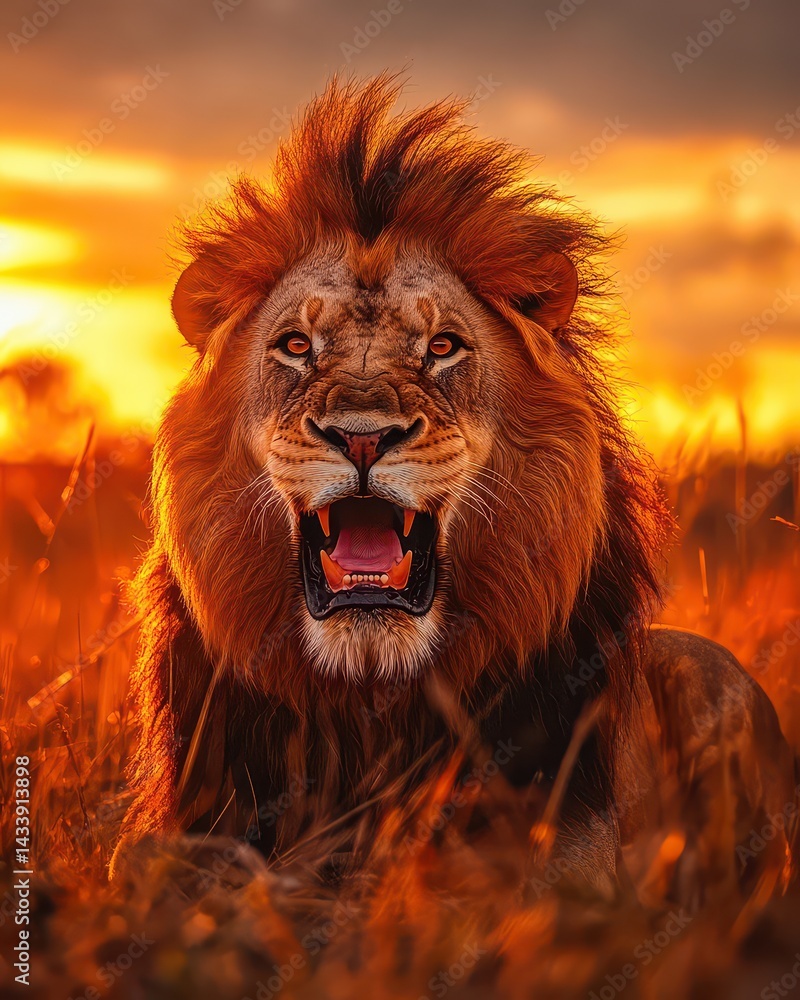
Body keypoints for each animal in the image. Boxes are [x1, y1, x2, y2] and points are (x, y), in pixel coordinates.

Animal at [116, 76, 795, 898]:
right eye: (295, 345)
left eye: (442, 346)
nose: (362, 435)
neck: (371, 701)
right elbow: (148, 862)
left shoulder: (576, 854)